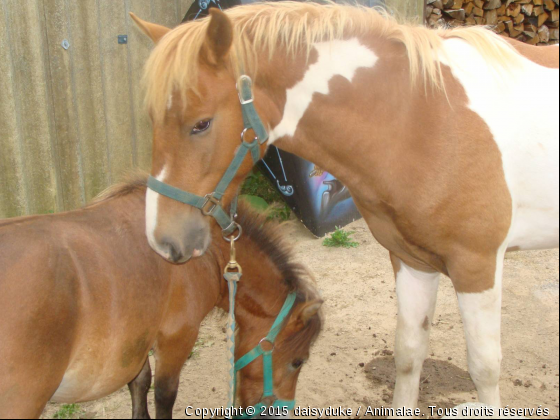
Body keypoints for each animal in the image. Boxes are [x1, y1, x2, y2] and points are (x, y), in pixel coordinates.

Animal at [0, 179, 322, 418]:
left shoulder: (139, 335)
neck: (211, 255)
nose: (281, 412)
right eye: (298, 362)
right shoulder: (177, 337)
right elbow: (165, 394)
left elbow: (139, 382)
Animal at [133, 1, 556, 412]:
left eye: (202, 124)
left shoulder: (477, 266)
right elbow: (409, 354)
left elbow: (484, 368)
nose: (162, 240)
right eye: (151, 119)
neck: (426, 118)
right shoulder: (412, 261)